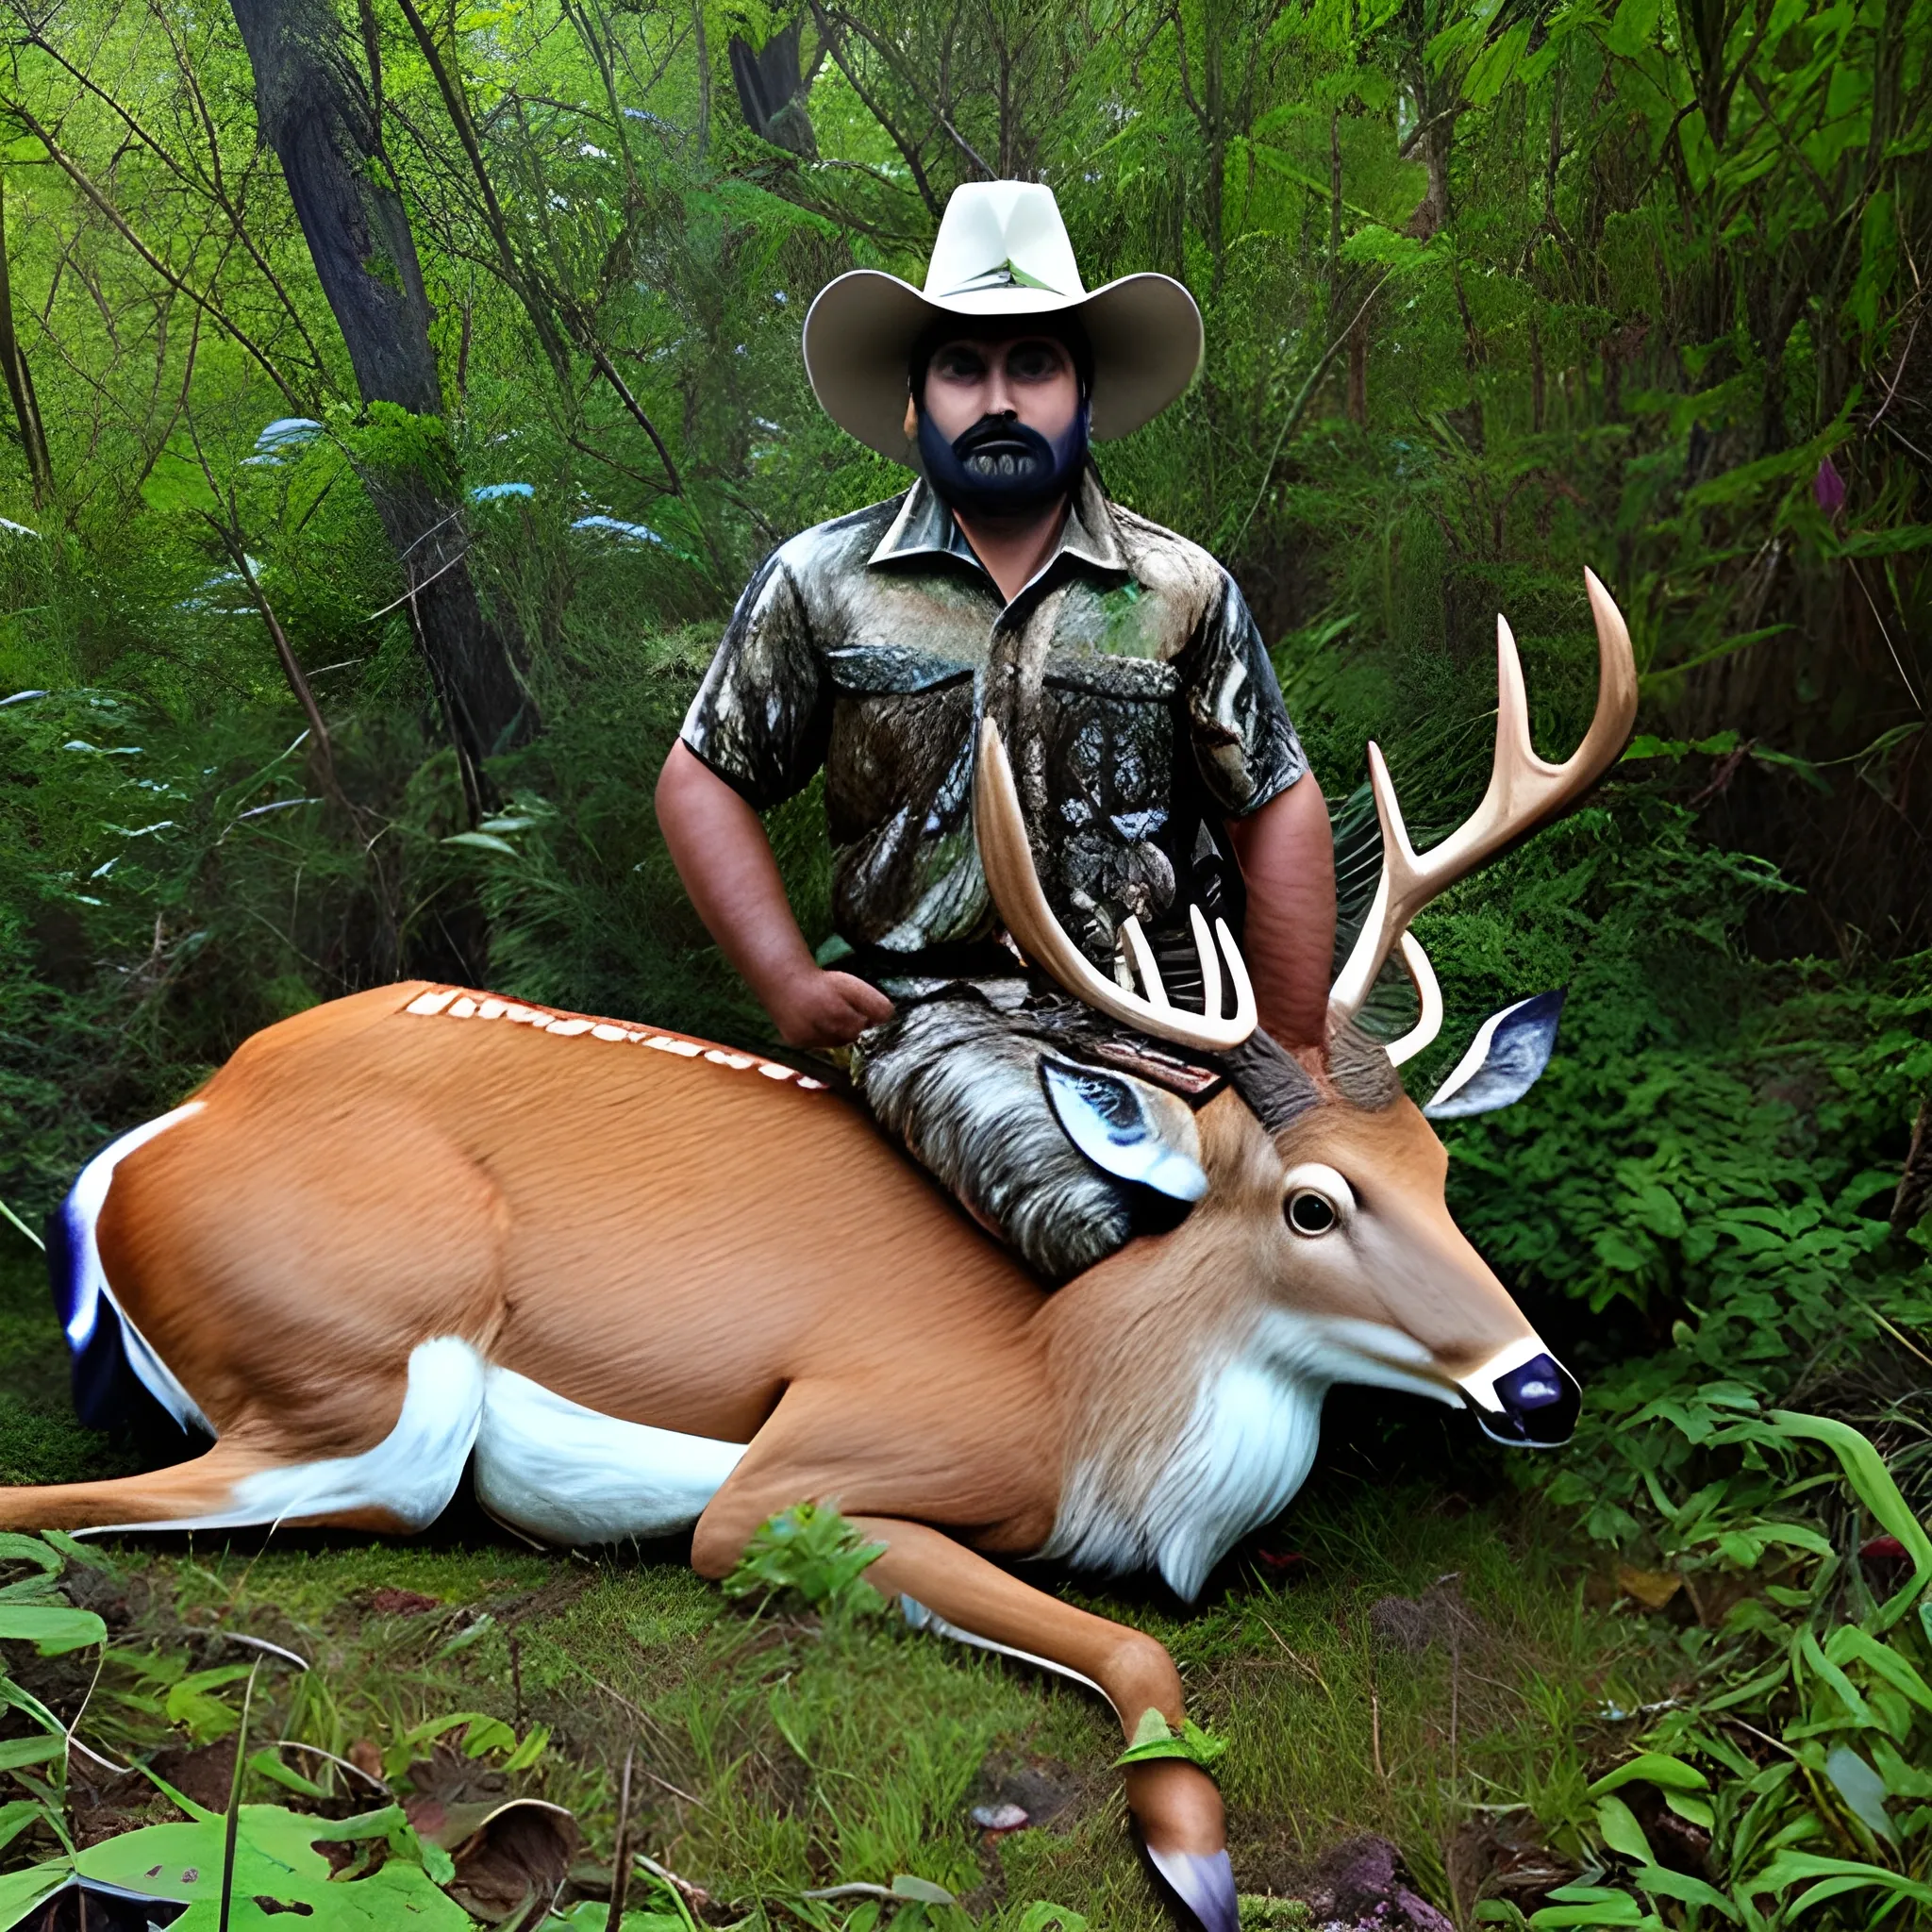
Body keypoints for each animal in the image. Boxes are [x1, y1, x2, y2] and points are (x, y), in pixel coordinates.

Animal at [23, 572, 1638, 1932]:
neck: (1082, 1392)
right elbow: (1133, 1648)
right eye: (1312, 1203)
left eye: (1442, 1173)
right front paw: (1195, 1862)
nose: (1538, 1387)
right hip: (365, 1379)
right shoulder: (802, 1472)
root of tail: (141, 1151)